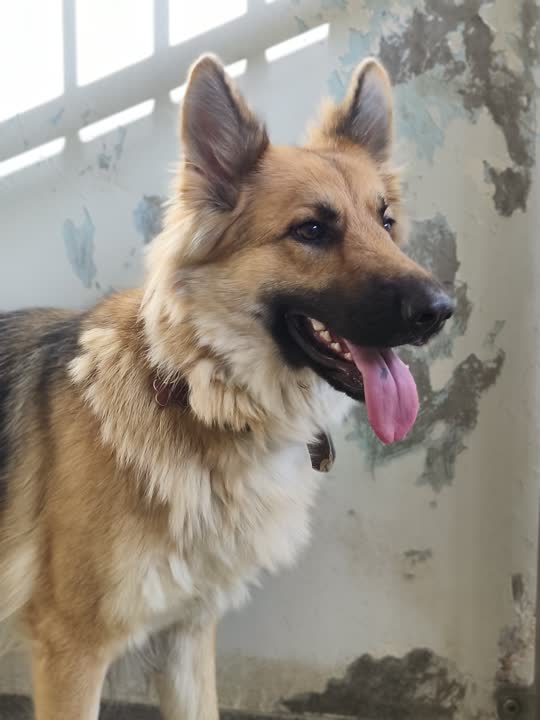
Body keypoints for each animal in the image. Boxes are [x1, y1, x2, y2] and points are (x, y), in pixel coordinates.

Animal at [0, 55, 453, 719]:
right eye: (311, 230)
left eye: (386, 221)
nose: (441, 310)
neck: (192, 392)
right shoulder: (72, 652)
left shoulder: (186, 634)